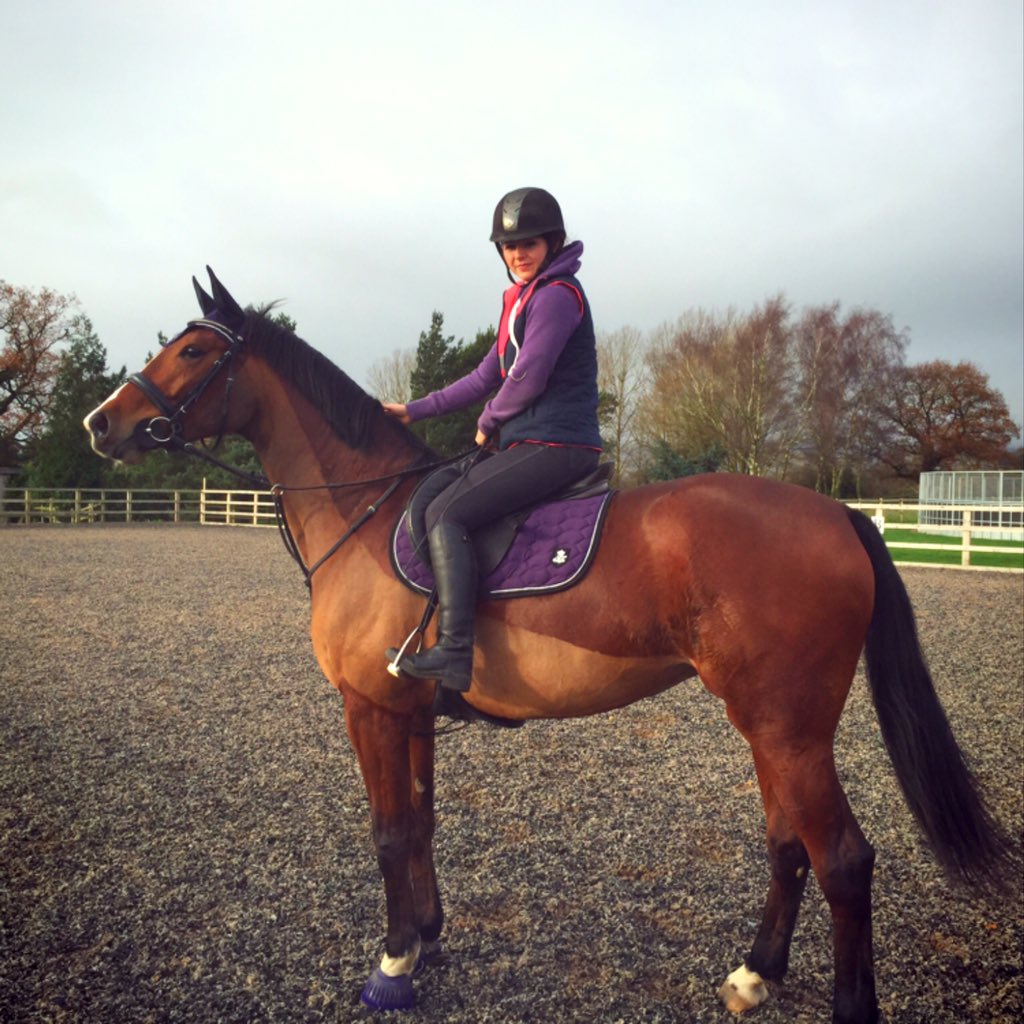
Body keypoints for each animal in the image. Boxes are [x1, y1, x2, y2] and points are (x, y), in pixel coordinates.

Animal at [84, 270, 1013, 1024]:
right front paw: (428, 937)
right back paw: (755, 975)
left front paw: (393, 966)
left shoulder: (371, 707)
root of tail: (838, 515)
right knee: (791, 847)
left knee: (845, 862)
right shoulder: (411, 709)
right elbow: (419, 822)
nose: (100, 423)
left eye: (195, 350)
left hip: (788, 728)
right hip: (773, 729)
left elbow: (387, 831)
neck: (368, 514)